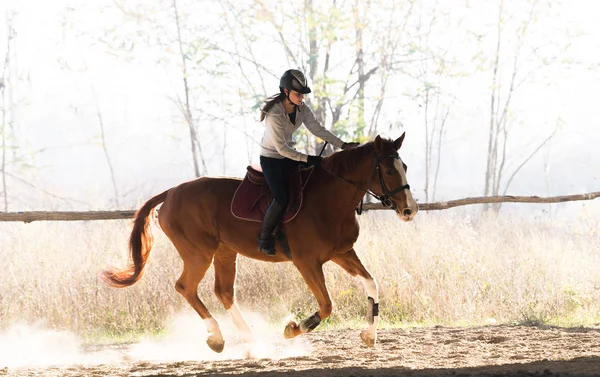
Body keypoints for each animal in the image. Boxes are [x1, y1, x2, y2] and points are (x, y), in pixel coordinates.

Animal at [102, 133, 418, 352]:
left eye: (404, 166)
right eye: (389, 170)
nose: (409, 210)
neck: (330, 199)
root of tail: (170, 193)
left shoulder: (342, 253)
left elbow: (371, 284)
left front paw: (369, 335)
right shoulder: (306, 262)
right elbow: (327, 305)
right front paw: (292, 329)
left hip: (225, 253)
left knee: (223, 291)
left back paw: (248, 337)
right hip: (198, 254)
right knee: (186, 287)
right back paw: (217, 338)